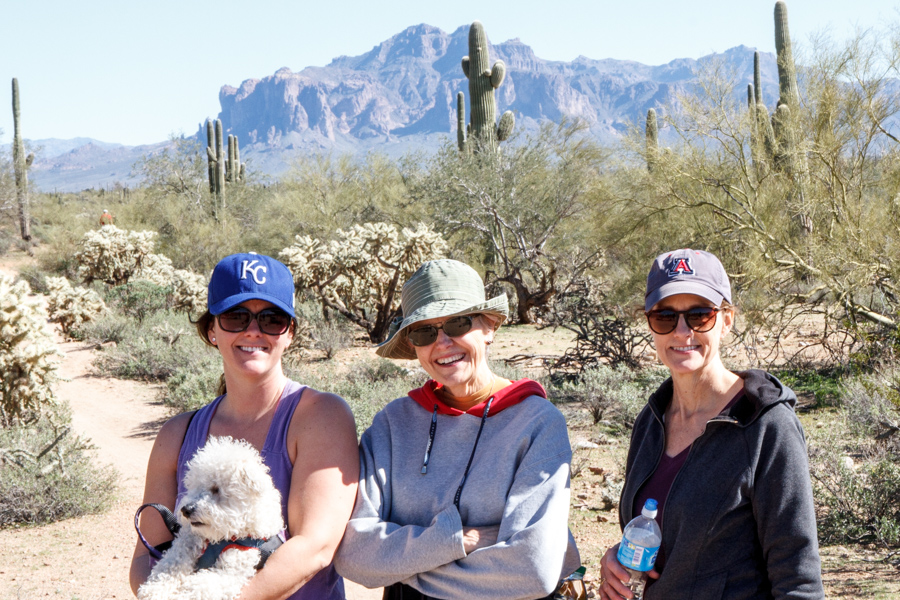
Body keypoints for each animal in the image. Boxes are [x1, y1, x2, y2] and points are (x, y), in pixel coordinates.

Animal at [137, 436, 284, 600]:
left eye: (216, 489)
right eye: (193, 486)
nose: (186, 510)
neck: (221, 537)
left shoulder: (231, 569)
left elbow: (200, 585)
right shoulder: (187, 542)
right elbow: (170, 564)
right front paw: (154, 588)